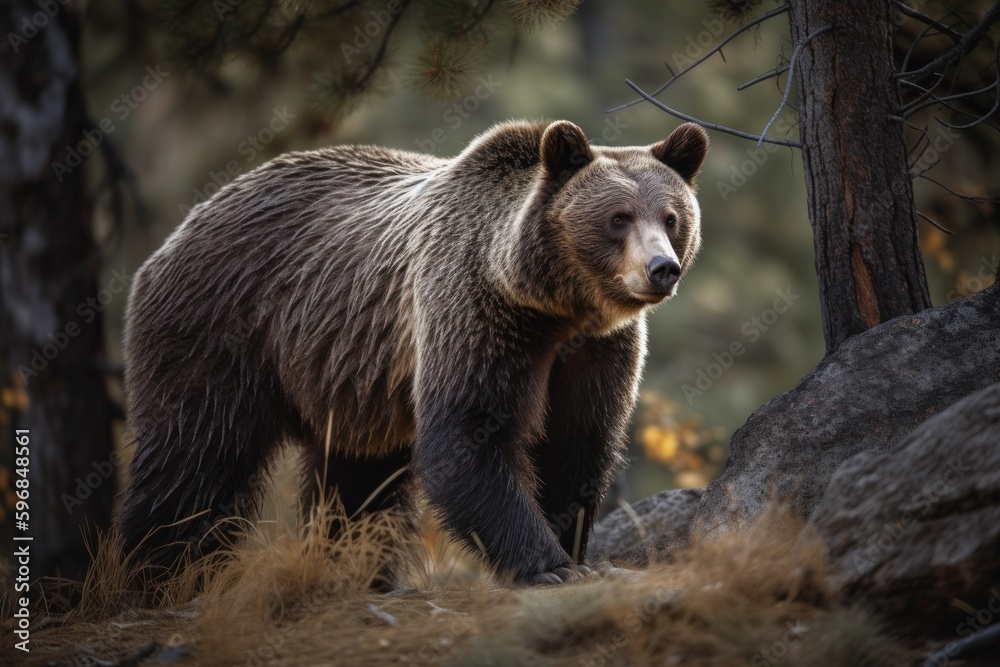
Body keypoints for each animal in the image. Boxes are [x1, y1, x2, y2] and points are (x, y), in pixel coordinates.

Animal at [117, 119, 709, 586]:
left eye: (671, 217)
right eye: (618, 217)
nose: (662, 268)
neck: (554, 303)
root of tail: (187, 222)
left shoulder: (596, 349)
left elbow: (576, 443)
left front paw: (576, 552)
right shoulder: (475, 309)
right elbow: (469, 433)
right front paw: (548, 566)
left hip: (350, 383)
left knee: (357, 482)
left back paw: (352, 571)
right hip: (221, 327)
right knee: (195, 453)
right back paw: (159, 573)